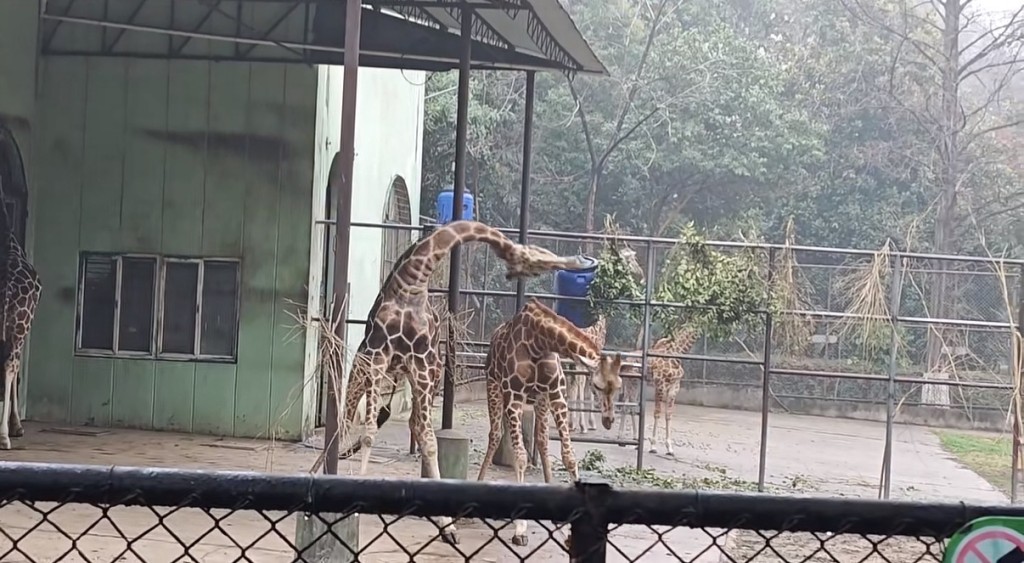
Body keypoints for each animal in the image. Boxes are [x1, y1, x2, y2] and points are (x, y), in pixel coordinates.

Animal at [335, 220, 585, 548]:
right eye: (536, 258)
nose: (575, 262)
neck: (411, 285)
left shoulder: (422, 365)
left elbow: (428, 441)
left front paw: (448, 525)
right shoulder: (379, 356)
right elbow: (368, 435)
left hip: (422, 376)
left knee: (413, 424)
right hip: (364, 368)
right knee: (345, 419)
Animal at [473, 300, 622, 548]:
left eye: (618, 386)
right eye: (598, 386)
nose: (609, 421)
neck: (539, 342)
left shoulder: (556, 394)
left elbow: (568, 455)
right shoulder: (514, 396)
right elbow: (521, 457)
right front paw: (520, 530)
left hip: (540, 400)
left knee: (541, 440)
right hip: (493, 385)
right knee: (495, 435)